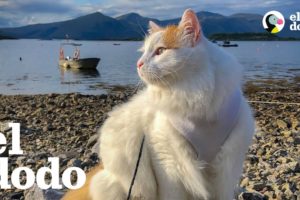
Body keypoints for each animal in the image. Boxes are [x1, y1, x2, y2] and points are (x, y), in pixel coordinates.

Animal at [64, 8, 254, 200]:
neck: (195, 99)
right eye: (143, 52)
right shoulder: (167, 162)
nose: (138, 64)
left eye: (160, 51)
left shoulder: (225, 168)